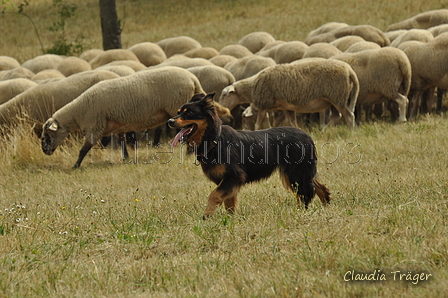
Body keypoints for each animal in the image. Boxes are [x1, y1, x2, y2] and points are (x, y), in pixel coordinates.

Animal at [40, 66, 205, 169]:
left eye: (47, 134)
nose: (45, 151)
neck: (79, 111)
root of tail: (192, 78)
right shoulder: (118, 125)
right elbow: (122, 142)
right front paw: (126, 158)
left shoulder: (95, 126)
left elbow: (84, 149)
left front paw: (75, 166)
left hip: (177, 106)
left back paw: (189, 153)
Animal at [166, 93, 330, 219]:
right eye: (179, 111)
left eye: (188, 113)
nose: (169, 121)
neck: (214, 140)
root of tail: (306, 135)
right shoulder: (228, 181)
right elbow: (229, 203)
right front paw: (230, 220)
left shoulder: (235, 176)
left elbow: (214, 195)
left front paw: (207, 215)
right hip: (298, 173)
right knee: (317, 187)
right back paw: (326, 205)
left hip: (294, 173)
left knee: (305, 194)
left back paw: (302, 212)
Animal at [219, 58, 358, 130]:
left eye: (224, 95)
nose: (220, 109)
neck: (252, 86)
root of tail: (349, 71)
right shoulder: (285, 107)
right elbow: (290, 123)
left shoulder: (263, 104)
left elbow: (258, 124)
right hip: (334, 99)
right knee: (337, 116)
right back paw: (325, 131)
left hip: (337, 97)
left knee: (349, 116)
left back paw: (350, 132)